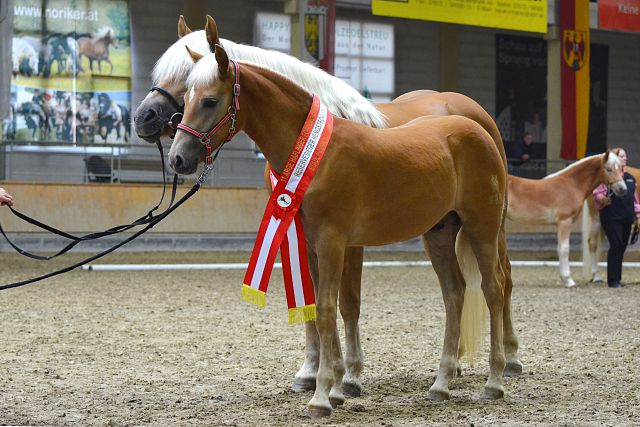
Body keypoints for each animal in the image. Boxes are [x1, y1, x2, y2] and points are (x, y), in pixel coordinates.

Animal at [132, 15, 524, 402]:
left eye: (209, 100)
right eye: (188, 94)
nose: (178, 157)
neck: (316, 149)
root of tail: (476, 125)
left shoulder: (337, 241)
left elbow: (334, 306)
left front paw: (337, 384)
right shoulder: (305, 240)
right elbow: (317, 308)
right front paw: (325, 379)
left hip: (485, 227)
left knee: (496, 284)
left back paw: (499, 375)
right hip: (441, 231)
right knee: (455, 291)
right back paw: (443, 380)